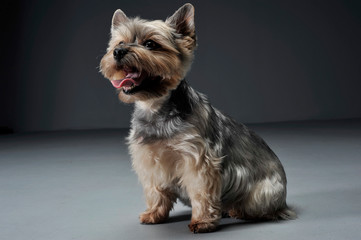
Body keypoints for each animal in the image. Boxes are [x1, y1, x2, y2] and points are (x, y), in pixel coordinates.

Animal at [99, 3, 296, 232]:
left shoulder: (198, 161)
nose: (118, 51)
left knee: (260, 209)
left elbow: (202, 192)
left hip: (262, 192)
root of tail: (284, 202)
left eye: (150, 44)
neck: (156, 108)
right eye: (119, 42)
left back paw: (238, 210)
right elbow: (155, 190)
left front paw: (202, 221)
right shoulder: (150, 160)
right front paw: (154, 214)